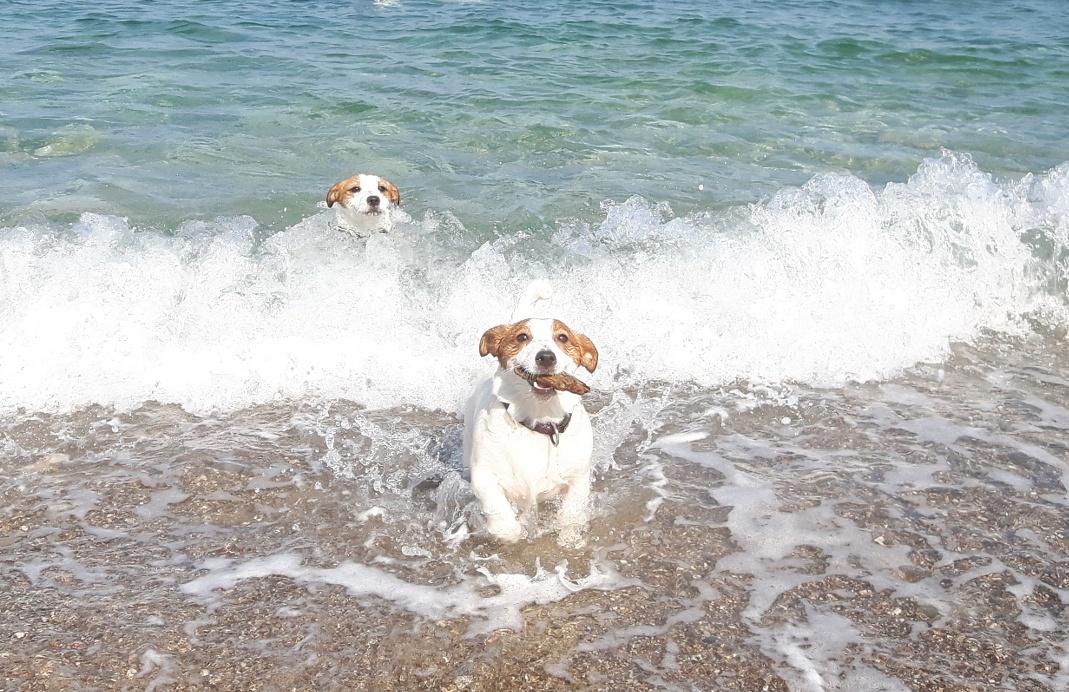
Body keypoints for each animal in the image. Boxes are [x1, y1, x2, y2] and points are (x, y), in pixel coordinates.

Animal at [461, 278, 602, 547]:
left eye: (563, 338)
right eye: (522, 336)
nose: (546, 356)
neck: (538, 417)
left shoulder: (579, 476)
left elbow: (572, 511)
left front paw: (569, 536)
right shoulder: (484, 475)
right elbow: (496, 506)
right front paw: (509, 531)